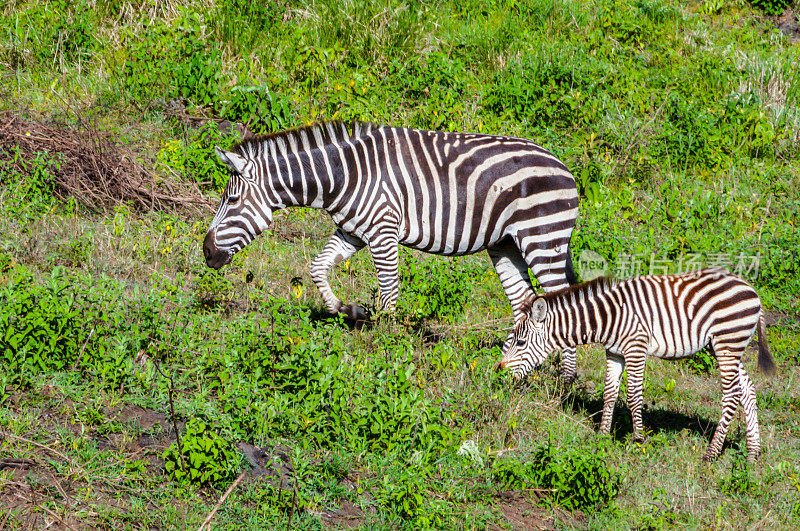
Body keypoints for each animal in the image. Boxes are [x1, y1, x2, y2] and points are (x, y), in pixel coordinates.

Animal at [500, 268, 776, 464]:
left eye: (520, 342)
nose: (500, 372)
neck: (610, 316)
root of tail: (752, 290)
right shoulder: (614, 352)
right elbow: (609, 393)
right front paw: (602, 436)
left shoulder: (636, 348)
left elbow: (633, 395)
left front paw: (638, 440)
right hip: (721, 347)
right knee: (747, 389)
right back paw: (753, 453)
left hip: (727, 343)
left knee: (731, 395)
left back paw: (711, 453)